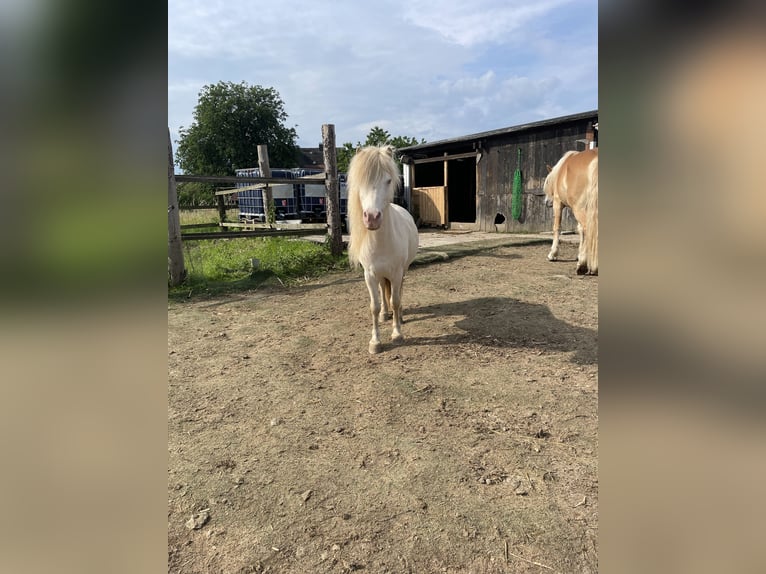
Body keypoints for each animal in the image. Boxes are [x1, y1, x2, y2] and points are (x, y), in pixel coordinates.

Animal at [348, 145, 420, 356]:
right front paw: (375, 341)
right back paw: (385, 314)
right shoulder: (369, 275)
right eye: (362, 181)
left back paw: (399, 315)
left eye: (388, 180)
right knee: (383, 290)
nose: (372, 217)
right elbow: (374, 305)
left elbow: (395, 299)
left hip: (402, 271)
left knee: (399, 292)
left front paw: (397, 334)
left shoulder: (396, 273)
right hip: (380, 275)